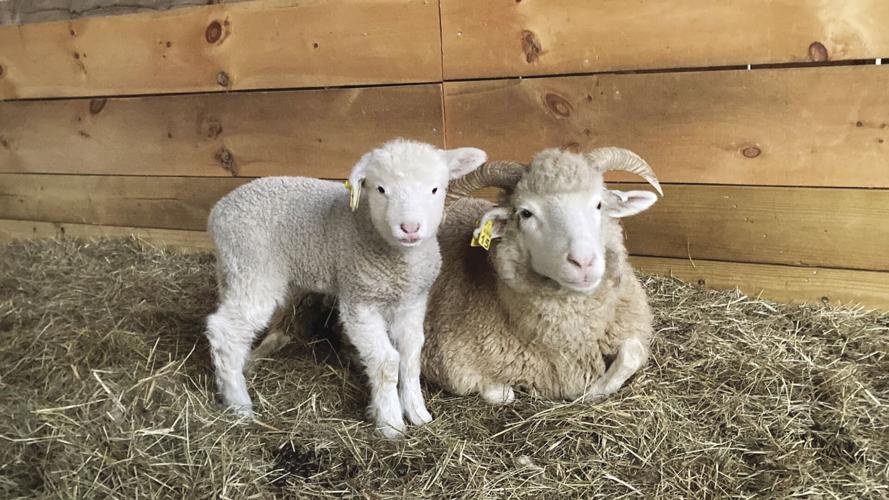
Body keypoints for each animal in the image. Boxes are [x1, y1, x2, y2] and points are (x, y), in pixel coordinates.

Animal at [204, 138, 487, 437]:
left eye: (435, 189)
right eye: (381, 189)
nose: (410, 228)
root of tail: (217, 212)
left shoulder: (412, 302)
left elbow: (411, 357)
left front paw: (417, 412)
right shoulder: (359, 302)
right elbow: (387, 362)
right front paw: (390, 423)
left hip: (236, 272)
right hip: (254, 271)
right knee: (224, 331)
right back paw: (239, 406)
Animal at [420, 147, 662, 404]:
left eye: (599, 204)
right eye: (526, 213)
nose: (584, 262)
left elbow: (632, 353)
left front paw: (592, 391)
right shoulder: (449, 364)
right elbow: (503, 394)